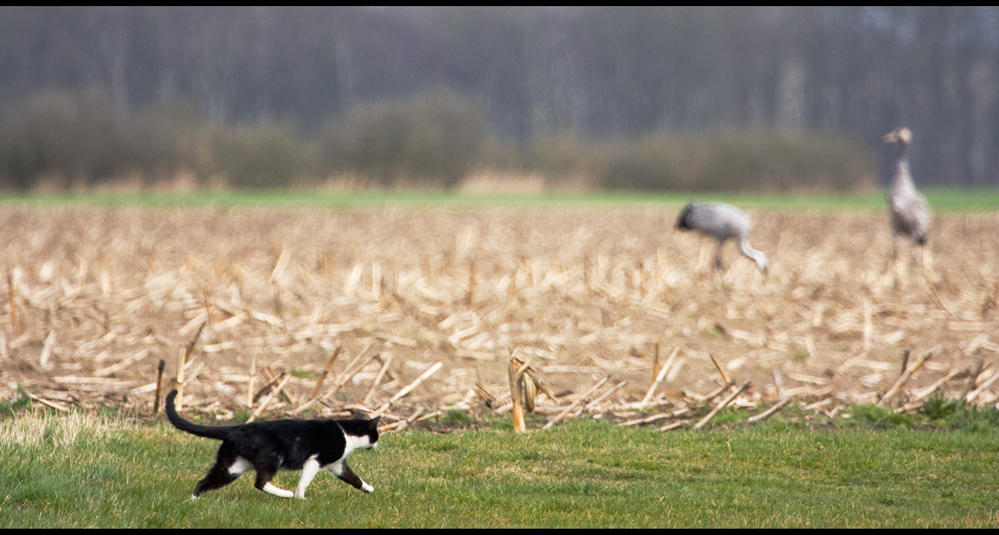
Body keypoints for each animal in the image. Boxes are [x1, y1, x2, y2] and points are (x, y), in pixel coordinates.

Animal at [166, 390, 380, 498]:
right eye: (376, 434)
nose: (378, 444)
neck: (346, 432)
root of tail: (234, 428)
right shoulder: (316, 460)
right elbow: (304, 481)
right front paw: (299, 497)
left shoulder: (337, 464)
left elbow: (353, 478)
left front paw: (368, 489)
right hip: (270, 457)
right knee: (260, 482)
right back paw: (285, 493)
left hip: (232, 466)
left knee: (203, 482)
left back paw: (193, 501)